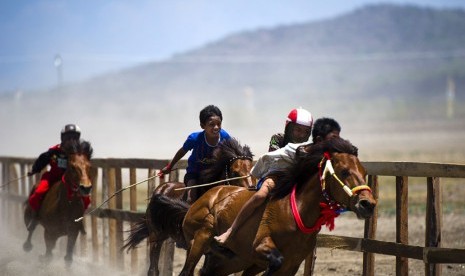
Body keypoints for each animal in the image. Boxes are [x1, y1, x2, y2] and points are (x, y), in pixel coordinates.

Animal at [122, 138, 254, 276]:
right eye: (235, 172)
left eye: (251, 170)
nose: (250, 190)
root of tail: (162, 187)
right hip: (156, 235)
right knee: (153, 268)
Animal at [150, 138, 376, 276]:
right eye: (345, 171)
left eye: (364, 172)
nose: (368, 204)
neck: (297, 212)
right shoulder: (261, 246)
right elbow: (274, 260)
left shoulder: (291, 265)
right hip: (199, 240)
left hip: (233, 260)